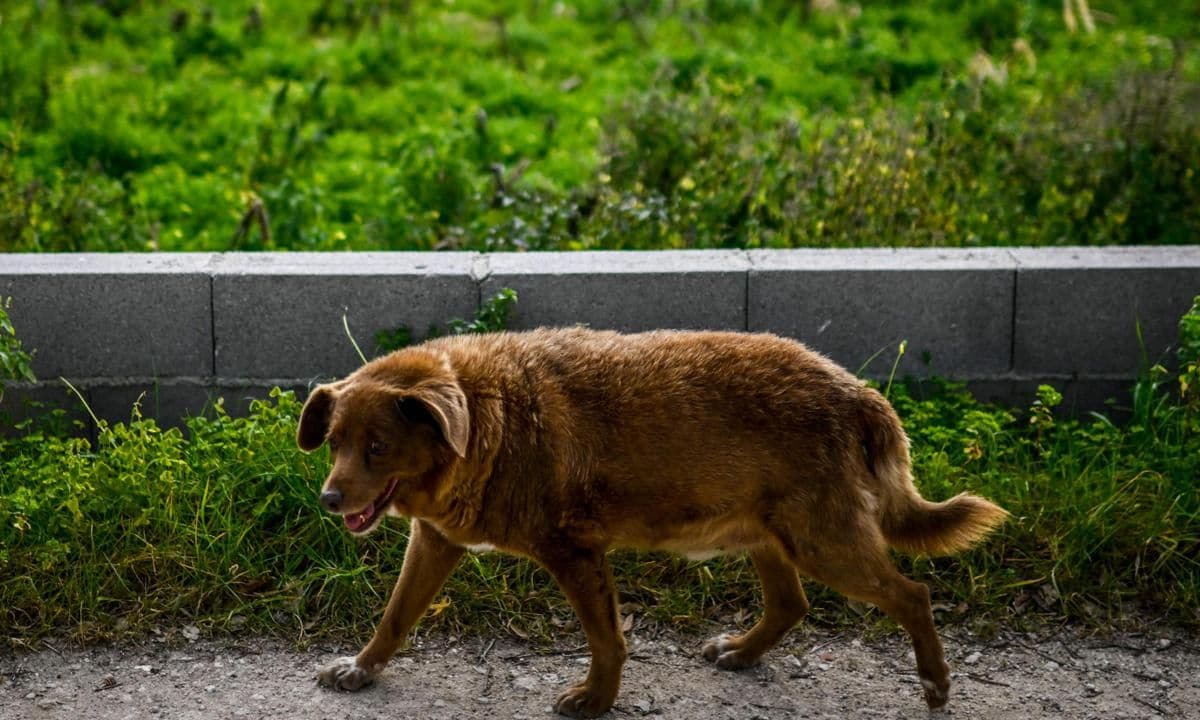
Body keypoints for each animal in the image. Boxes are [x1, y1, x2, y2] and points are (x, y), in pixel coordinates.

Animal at [297, 328, 1003, 715]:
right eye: (333, 441)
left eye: (377, 447)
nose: (329, 500)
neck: (492, 420)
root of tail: (858, 391)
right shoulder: (437, 540)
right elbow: (394, 616)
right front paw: (362, 668)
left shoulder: (574, 551)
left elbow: (608, 639)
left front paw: (595, 701)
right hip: (766, 533)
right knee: (791, 604)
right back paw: (743, 651)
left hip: (821, 540)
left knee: (912, 593)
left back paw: (935, 683)